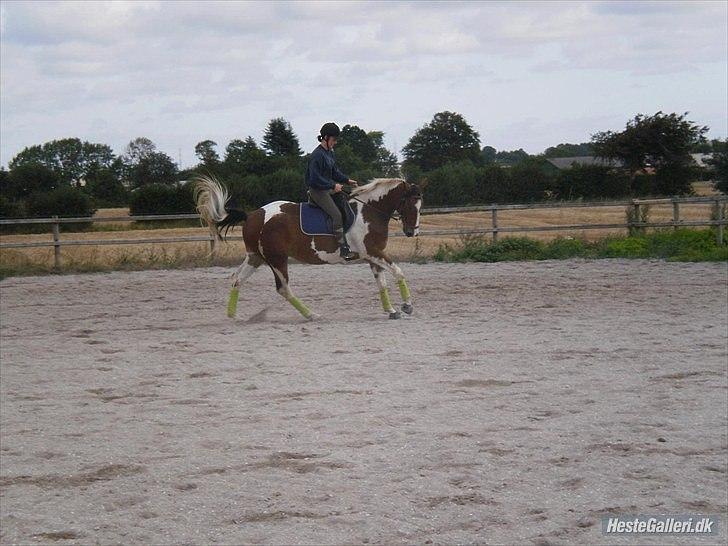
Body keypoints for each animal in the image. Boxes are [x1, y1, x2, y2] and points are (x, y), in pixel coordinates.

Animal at [193, 174, 424, 318]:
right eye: (410, 203)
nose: (412, 232)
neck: (369, 211)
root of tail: (252, 216)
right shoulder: (373, 252)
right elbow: (399, 272)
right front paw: (407, 306)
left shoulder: (372, 255)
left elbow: (381, 283)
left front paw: (392, 310)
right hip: (277, 259)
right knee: (283, 288)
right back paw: (311, 314)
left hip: (255, 257)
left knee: (237, 279)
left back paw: (233, 315)